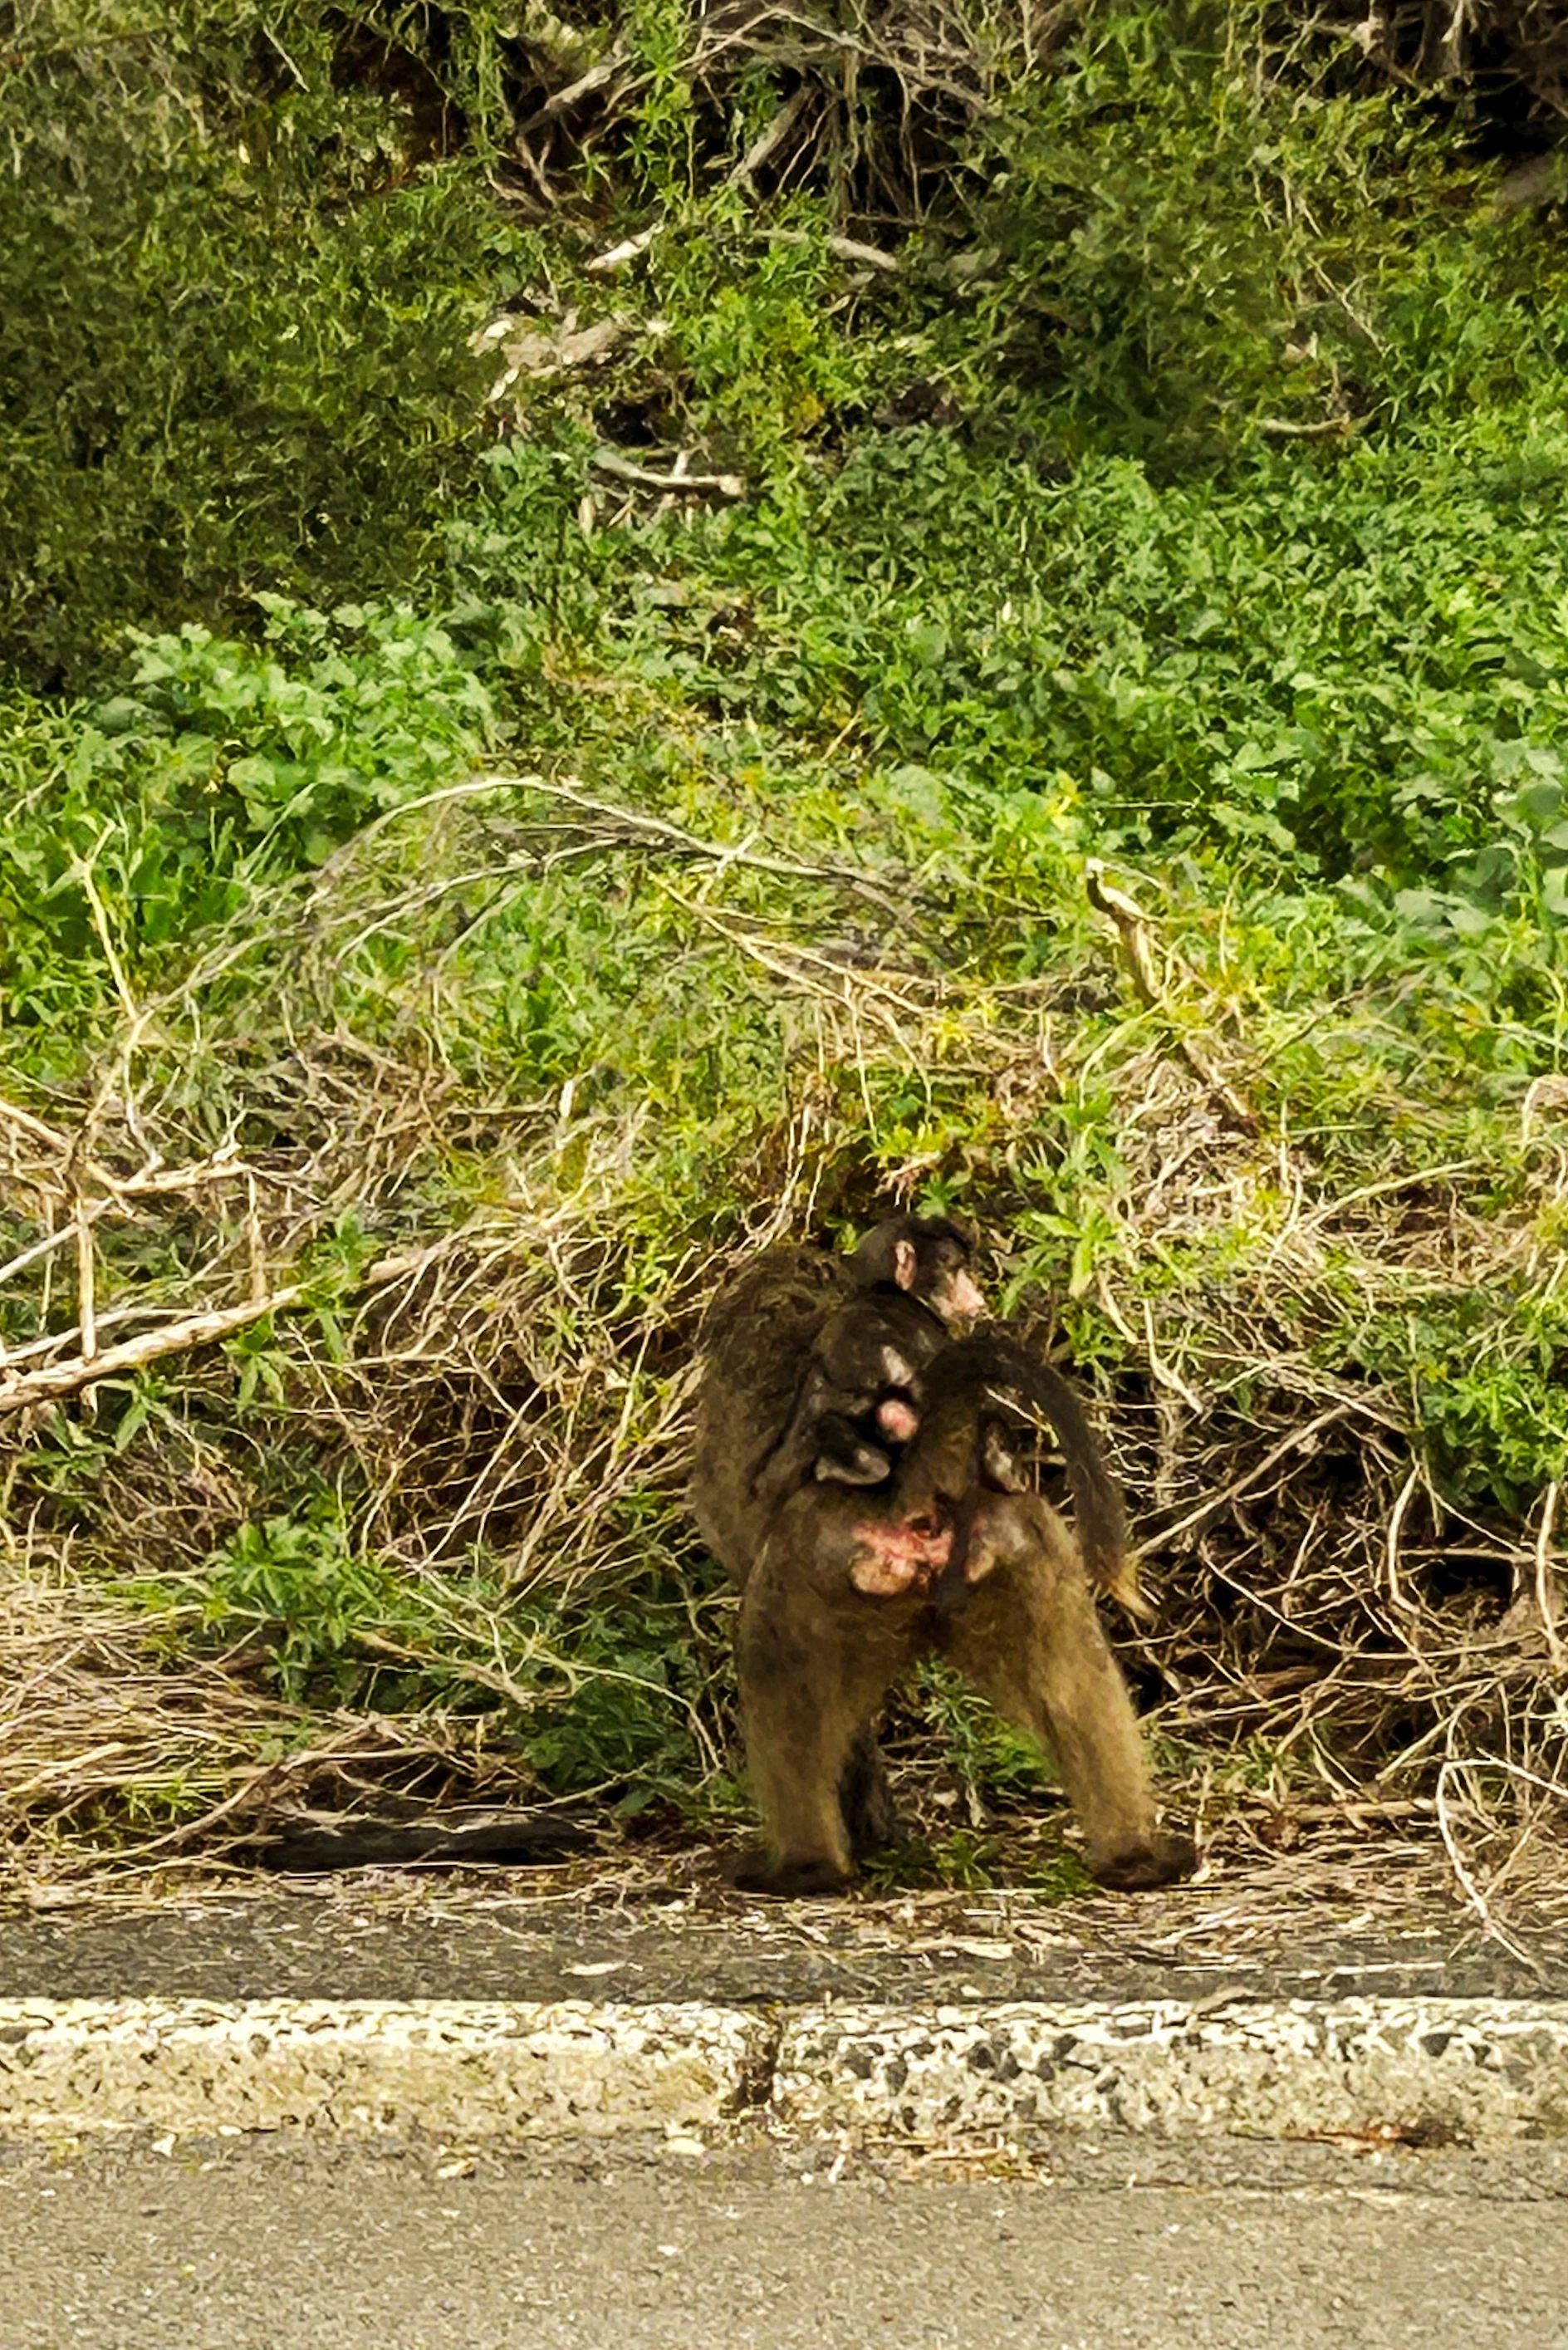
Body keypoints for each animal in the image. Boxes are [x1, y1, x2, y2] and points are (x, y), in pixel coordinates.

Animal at [691, 1243, 1196, 1898]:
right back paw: (1137, 1856)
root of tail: (917, 1482)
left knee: (778, 1680)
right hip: (1019, 1541)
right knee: (1074, 1687)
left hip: (812, 1558)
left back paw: (806, 1868)